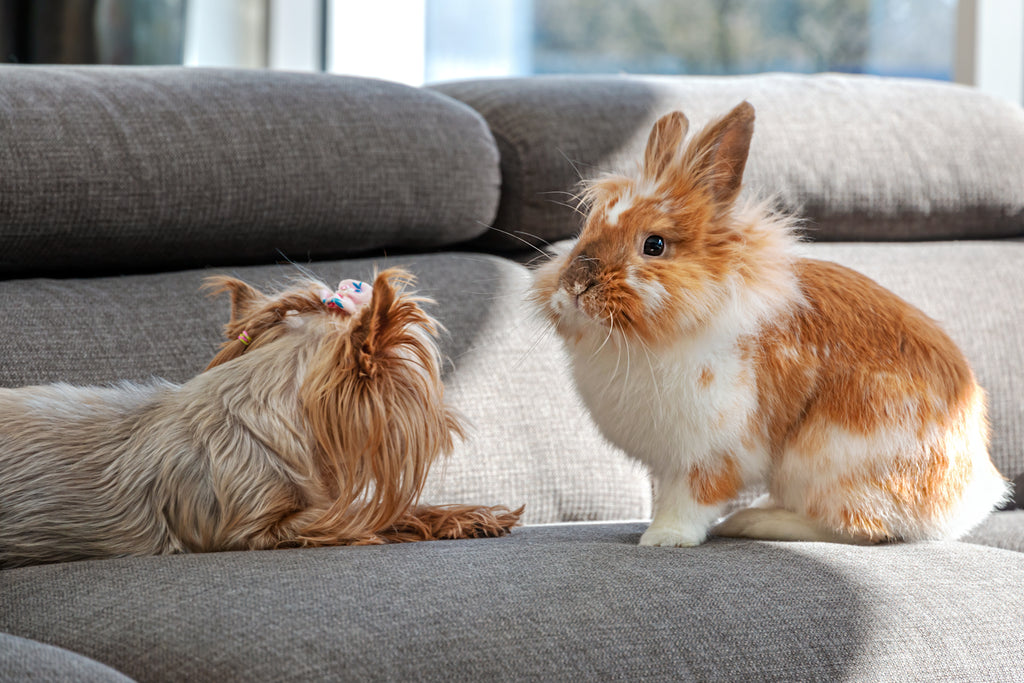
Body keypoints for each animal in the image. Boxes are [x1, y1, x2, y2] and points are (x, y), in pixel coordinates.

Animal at [532, 101, 1011, 548]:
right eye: (585, 229)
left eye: (654, 245)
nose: (575, 284)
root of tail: (966, 503)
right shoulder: (671, 457)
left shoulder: (712, 451)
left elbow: (691, 499)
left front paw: (663, 537)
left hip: (823, 461)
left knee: (859, 528)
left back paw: (754, 521)